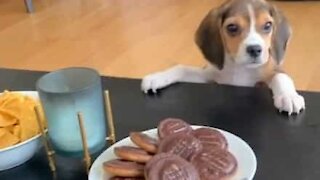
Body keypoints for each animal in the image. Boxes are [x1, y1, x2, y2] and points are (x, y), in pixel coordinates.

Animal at [142, 0, 304, 115]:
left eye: (268, 25)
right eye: (232, 28)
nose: (255, 50)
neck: (239, 68)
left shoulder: (271, 71)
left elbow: (281, 77)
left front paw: (288, 97)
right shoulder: (210, 76)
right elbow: (181, 68)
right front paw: (157, 77)